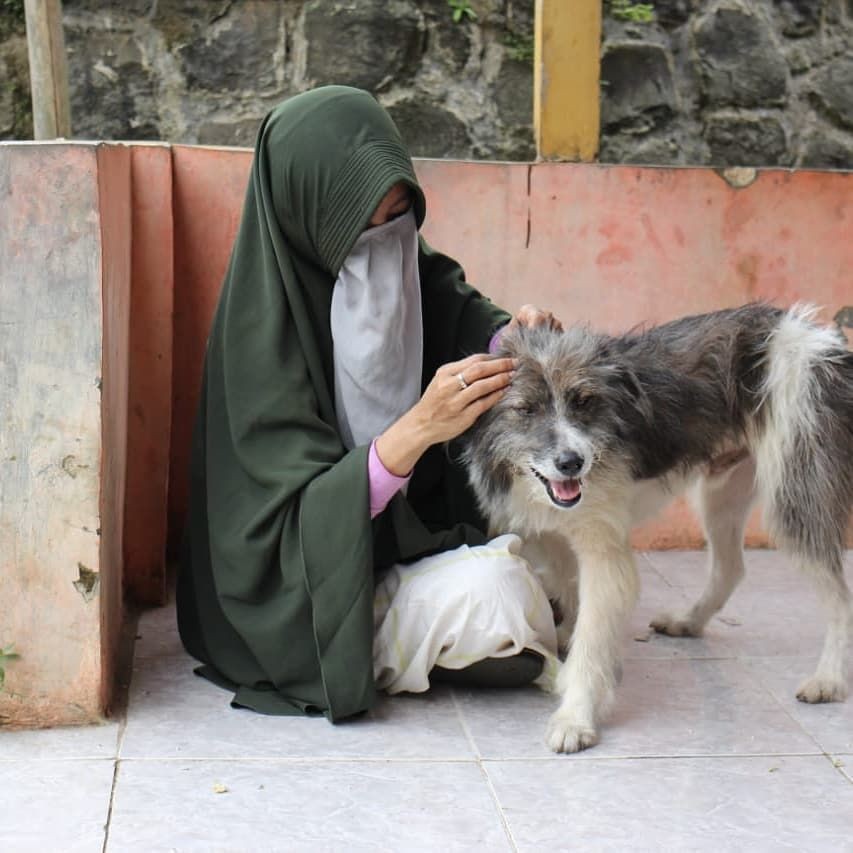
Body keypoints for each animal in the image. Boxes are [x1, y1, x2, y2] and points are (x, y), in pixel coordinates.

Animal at [466, 304, 852, 752]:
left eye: (584, 401)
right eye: (526, 409)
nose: (572, 462)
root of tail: (817, 336)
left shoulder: (604, 551)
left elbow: (593, 635)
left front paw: (576, 715)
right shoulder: (547, 534)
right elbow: (573, 595)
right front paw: (571, 641)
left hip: (795, 491)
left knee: (839, 597)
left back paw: (829, 680)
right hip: (722, 492)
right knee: (731, 568)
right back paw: (689, 622)